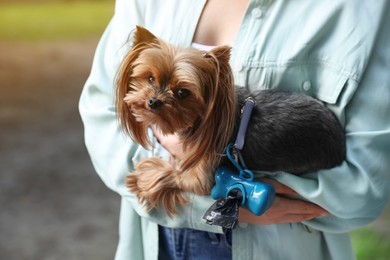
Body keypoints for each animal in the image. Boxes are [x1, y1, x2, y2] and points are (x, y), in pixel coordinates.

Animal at [115, 26, 344, 216]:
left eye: (182, 93)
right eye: (150, 78)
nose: (153, 101)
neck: (203, 120)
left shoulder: (203, 173)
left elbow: (175, 174)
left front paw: (143, 176)